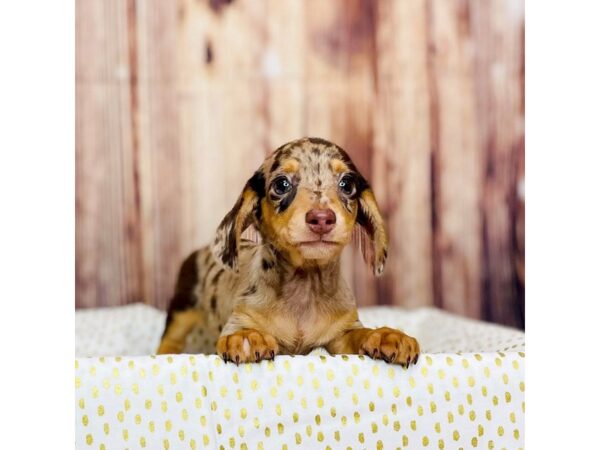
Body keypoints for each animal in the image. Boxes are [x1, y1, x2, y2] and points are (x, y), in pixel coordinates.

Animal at [159, 136, 422, 366]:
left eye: (347, 184)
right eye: (281, 184)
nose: (322, 218)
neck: (304, 286)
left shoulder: (341, 334)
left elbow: (360, 334)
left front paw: (386, 335)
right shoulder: (238, 319)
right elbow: (242, 330)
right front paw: (248, 337)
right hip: (182, 307)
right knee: (170, 339)